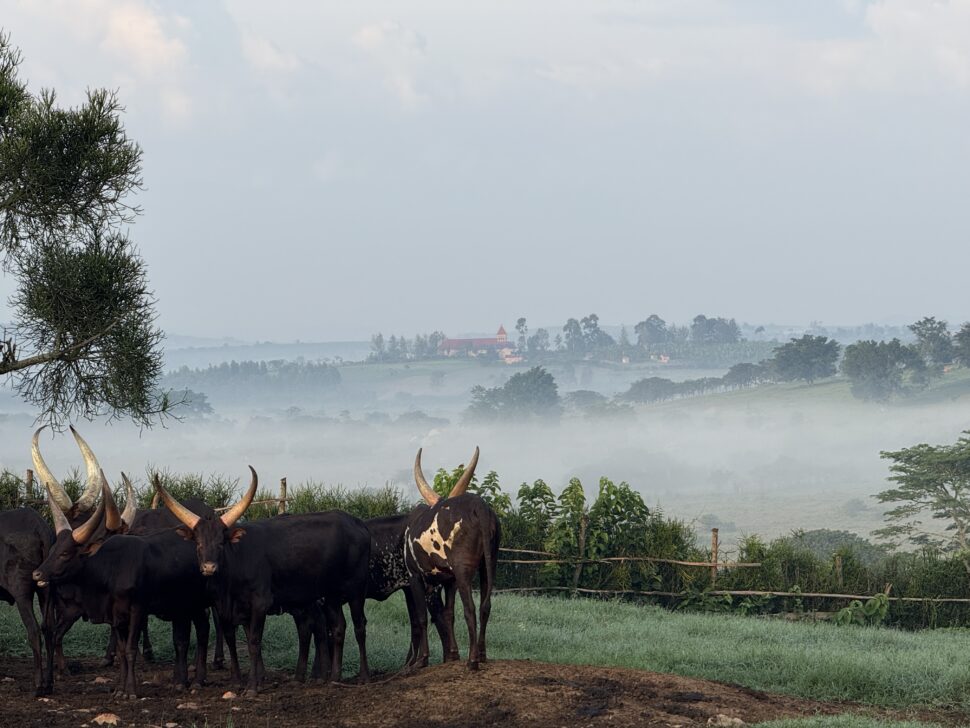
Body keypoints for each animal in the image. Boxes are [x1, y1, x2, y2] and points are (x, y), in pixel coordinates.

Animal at [34, 483, 214, 697]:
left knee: (203, 631)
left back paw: (199, 679)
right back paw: (183, 680)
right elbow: (121, 650)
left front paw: (131, 690)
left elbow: (130, 649)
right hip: (183, 607)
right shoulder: (116, 616)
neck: (112, 568)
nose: (36, 574)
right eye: (52, 550)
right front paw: (120, 688)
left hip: (197, 604)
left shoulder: (137, 610)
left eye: (65, 553)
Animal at [154, 470, 372, 693]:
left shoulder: (260, 603)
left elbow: (253, 641)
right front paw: (239, 681)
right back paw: (334, 677)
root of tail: (357, 523)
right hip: (330, 595)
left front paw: (252, 686)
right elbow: (232, 640)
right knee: (337, 627)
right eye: (198, 543)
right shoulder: (227, 608)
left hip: (356, 590)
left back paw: (363, 676)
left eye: (221, 543)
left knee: (359, 626)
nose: (209, 567)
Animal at [404, 447, 500, 671]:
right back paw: (481, 654)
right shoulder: (450, 581)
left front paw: (422, 659)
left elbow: (422, 617)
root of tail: (480, 506)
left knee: (470, 609)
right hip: (488, 564)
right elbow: (448, 614)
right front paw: (453, 655)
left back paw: (473, 661)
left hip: (463, 569)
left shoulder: (415, 576)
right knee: (485, 606)